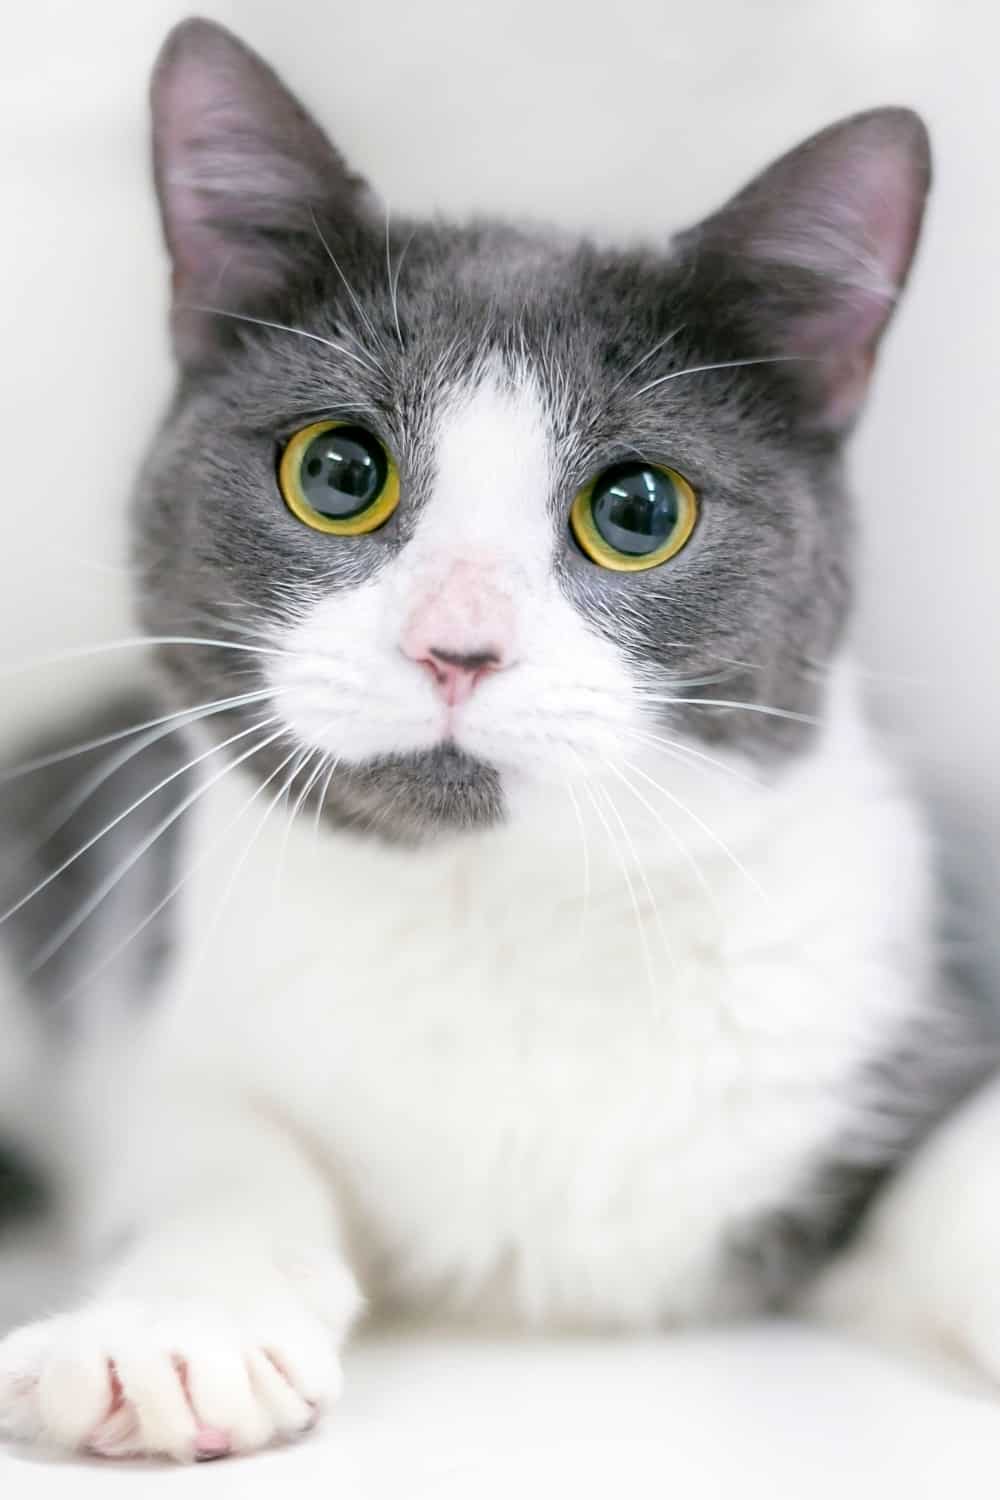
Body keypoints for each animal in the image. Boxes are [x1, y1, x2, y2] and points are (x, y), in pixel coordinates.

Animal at [1, 11, 1000, 1464]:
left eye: (638, 508)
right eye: (338, 474)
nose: (457, 645)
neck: (510, 911)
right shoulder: (176, 1007)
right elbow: (216, 1146)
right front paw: (177, 1325)